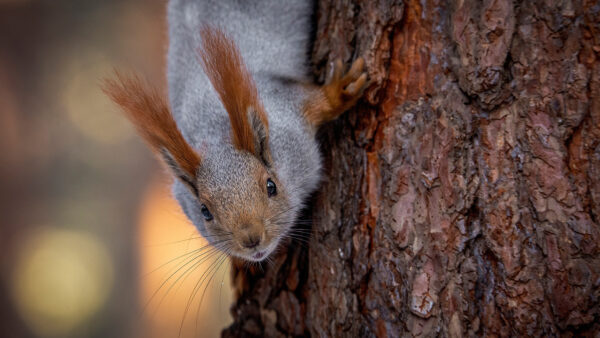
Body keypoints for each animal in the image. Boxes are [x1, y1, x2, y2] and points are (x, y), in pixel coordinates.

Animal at [102, 0, 366, 262]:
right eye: (204, 211)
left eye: (271, 186)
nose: (251, 239)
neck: (215, 132)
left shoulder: (285, 107)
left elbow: (316, 100)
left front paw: (339, 91)